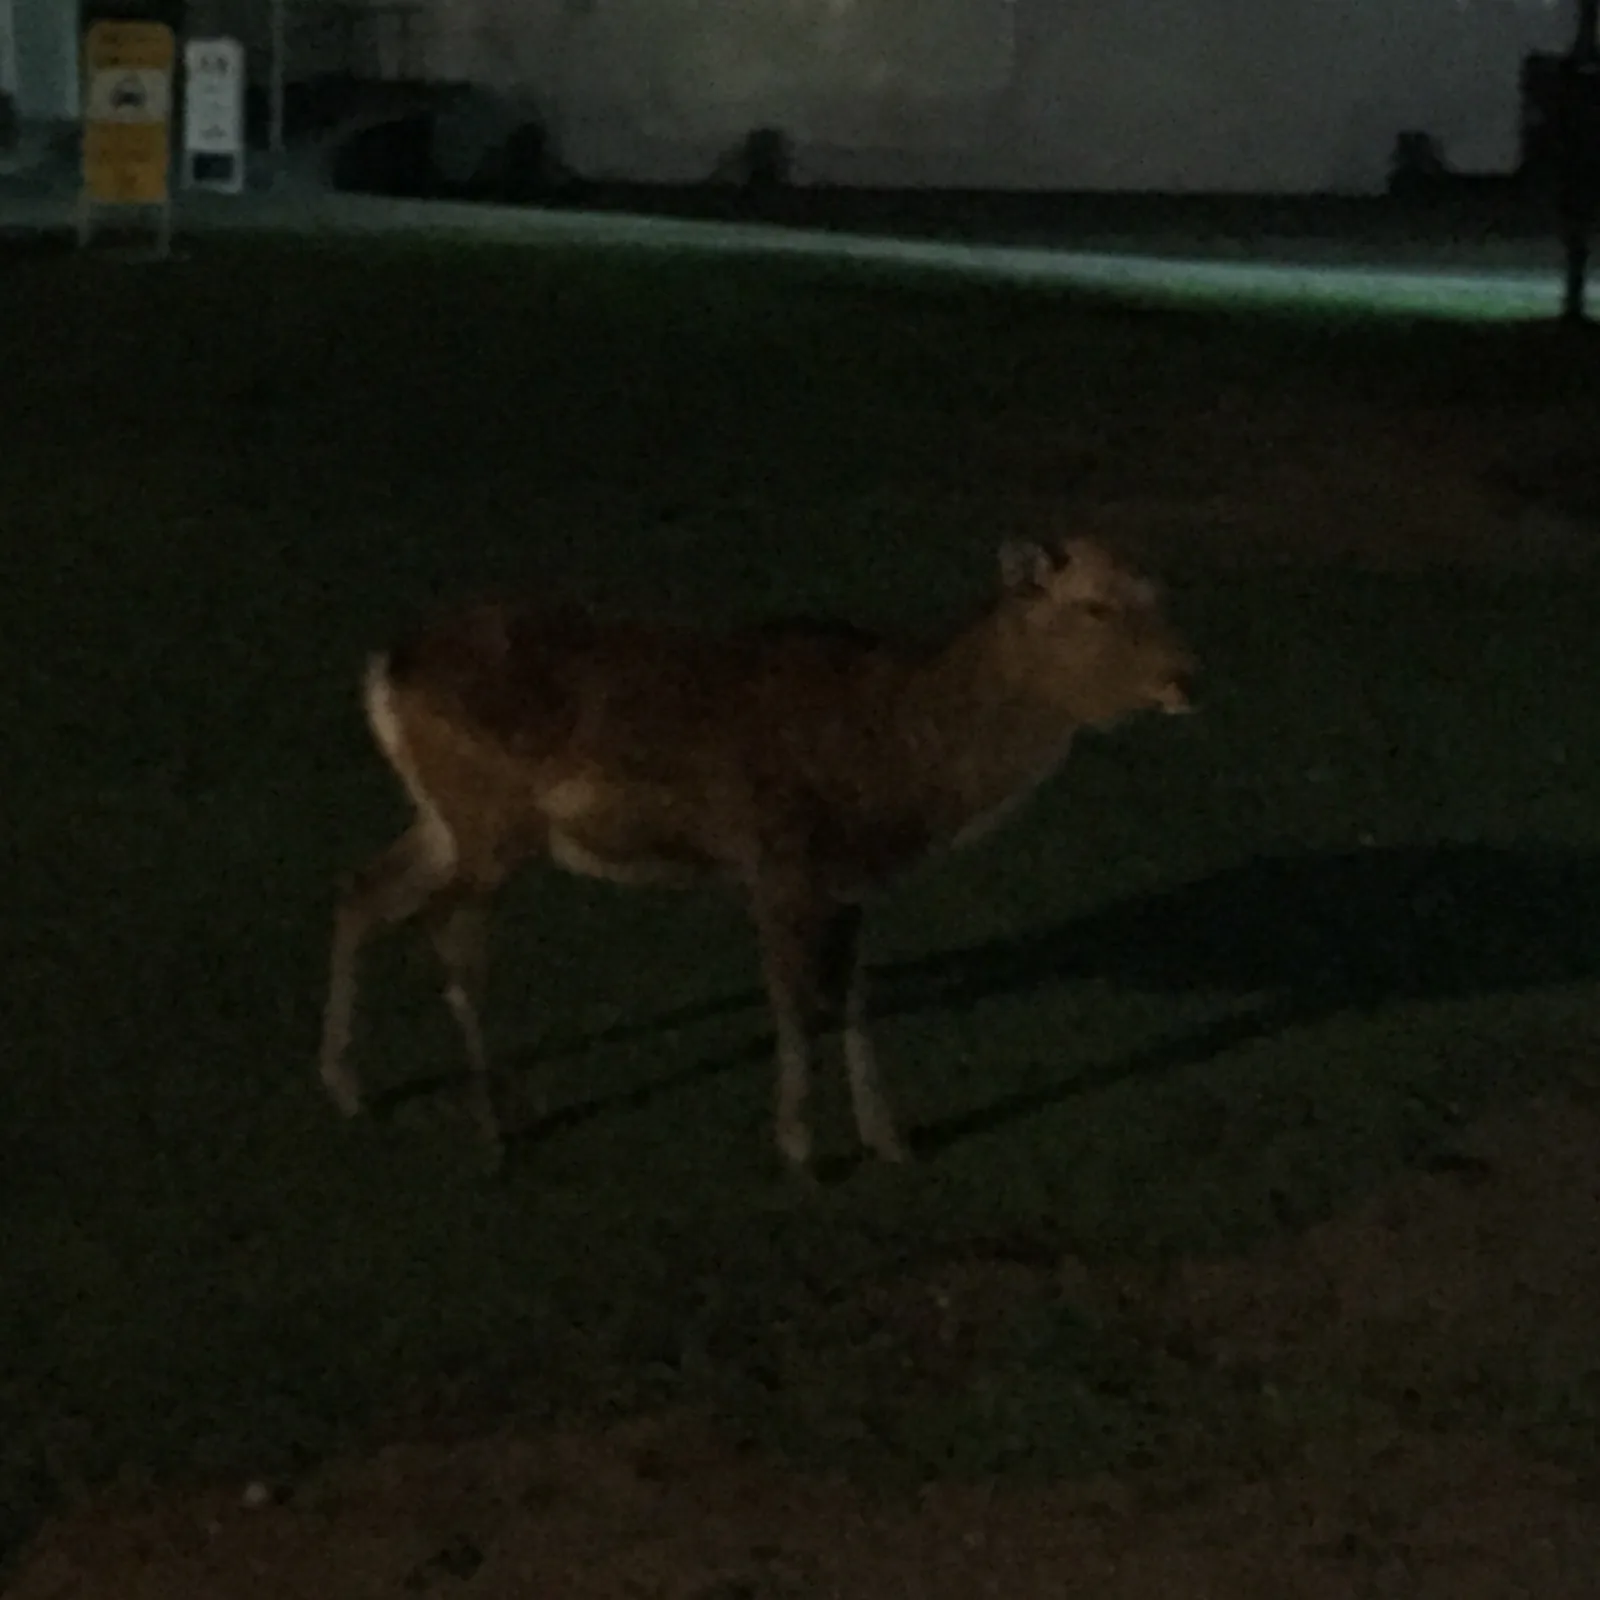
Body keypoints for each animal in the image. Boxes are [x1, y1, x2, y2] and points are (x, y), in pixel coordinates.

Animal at [317, 534, 1198, 1173]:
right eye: (1093, 606)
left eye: (1159, 596)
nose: (1184, 677)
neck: (901, 771)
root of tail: (384, 667)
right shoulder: (776, 859)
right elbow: (793, 1001)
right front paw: (801, 1151)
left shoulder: (850, 882)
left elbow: (852, 997)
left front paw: (891, 1140)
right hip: (490, 823)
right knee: (448, 937)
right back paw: (495, 1127)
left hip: (445, 821)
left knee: (363, 888)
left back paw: (349, 1087)